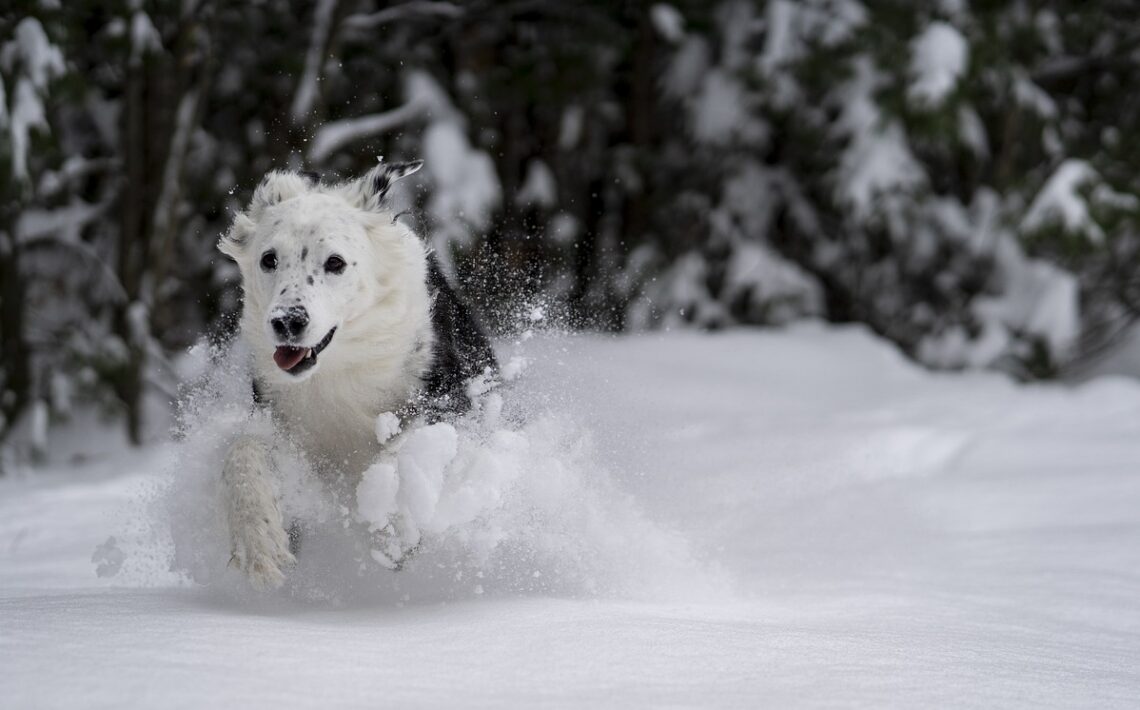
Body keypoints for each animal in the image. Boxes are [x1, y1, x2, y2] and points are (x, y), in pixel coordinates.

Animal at [217, 160, 494, 588]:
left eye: (335, 262)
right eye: (268, 259)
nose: (287, 322)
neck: (339, 366)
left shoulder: (451, 401)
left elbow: (401, 450)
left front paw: (391, 527)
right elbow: (243, 450)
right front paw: (259, 542)